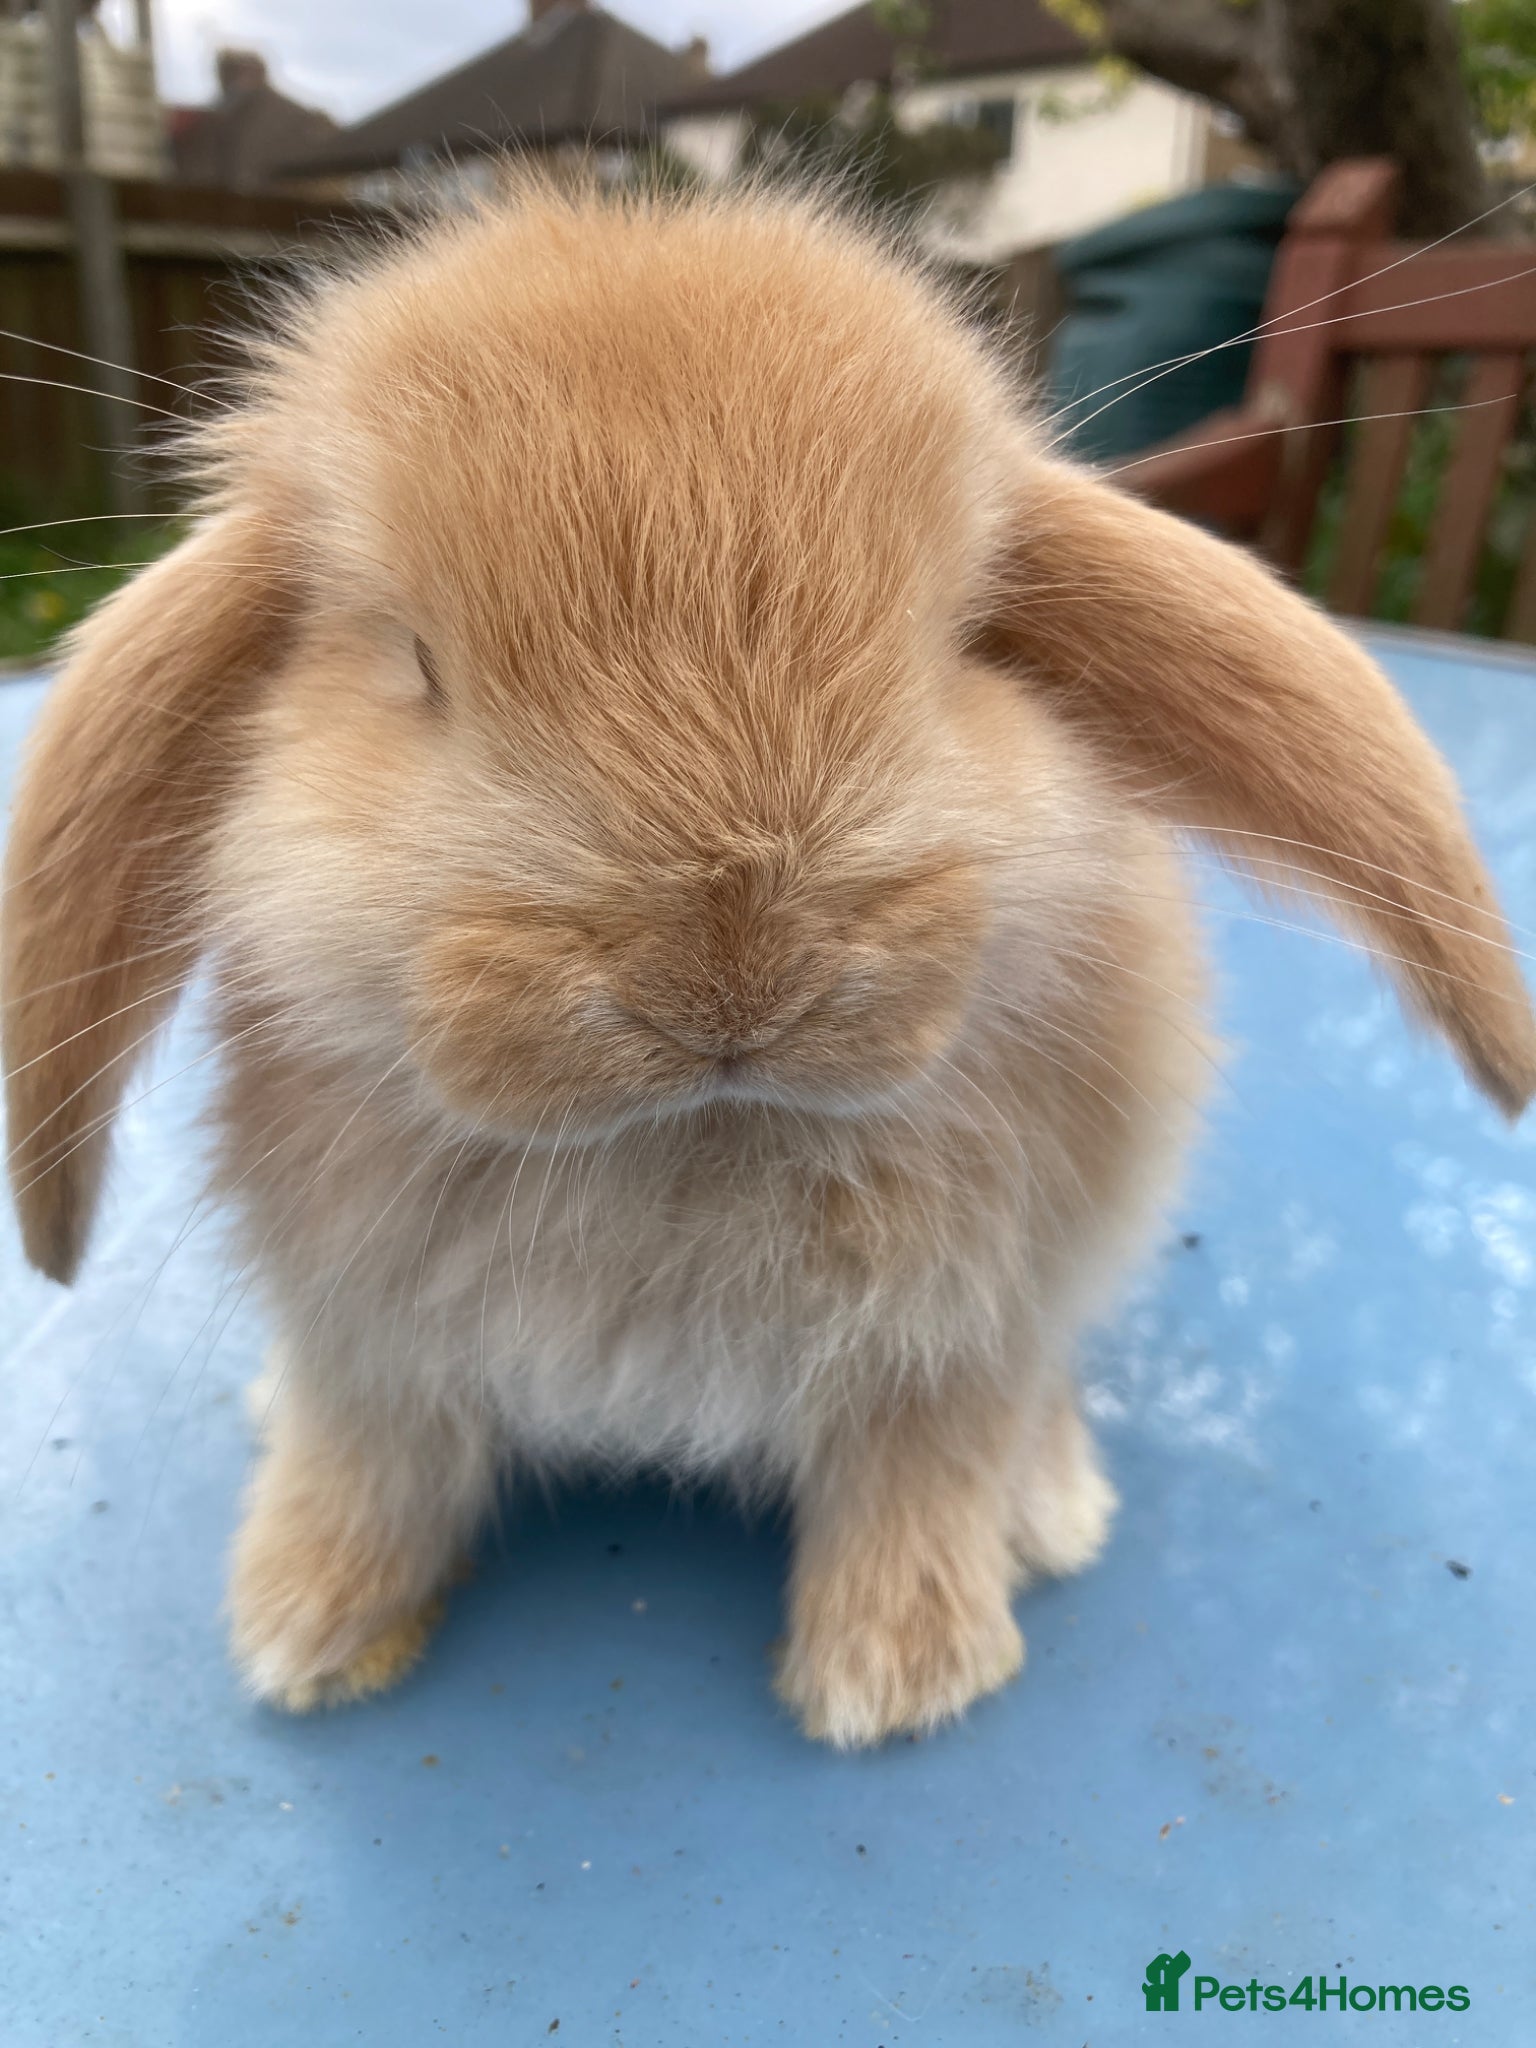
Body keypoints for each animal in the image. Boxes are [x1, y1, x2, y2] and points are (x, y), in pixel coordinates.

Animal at [5, 180, 1534, 1748]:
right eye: (416, 663)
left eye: (961, 640)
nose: (729, 974)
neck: (694, 1140)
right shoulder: (366, 1341)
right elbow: (371, 1463)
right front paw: (306, 1627)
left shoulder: (962, 1341)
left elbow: (920, 1472)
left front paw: (895, 1678)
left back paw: (1048, 1511)